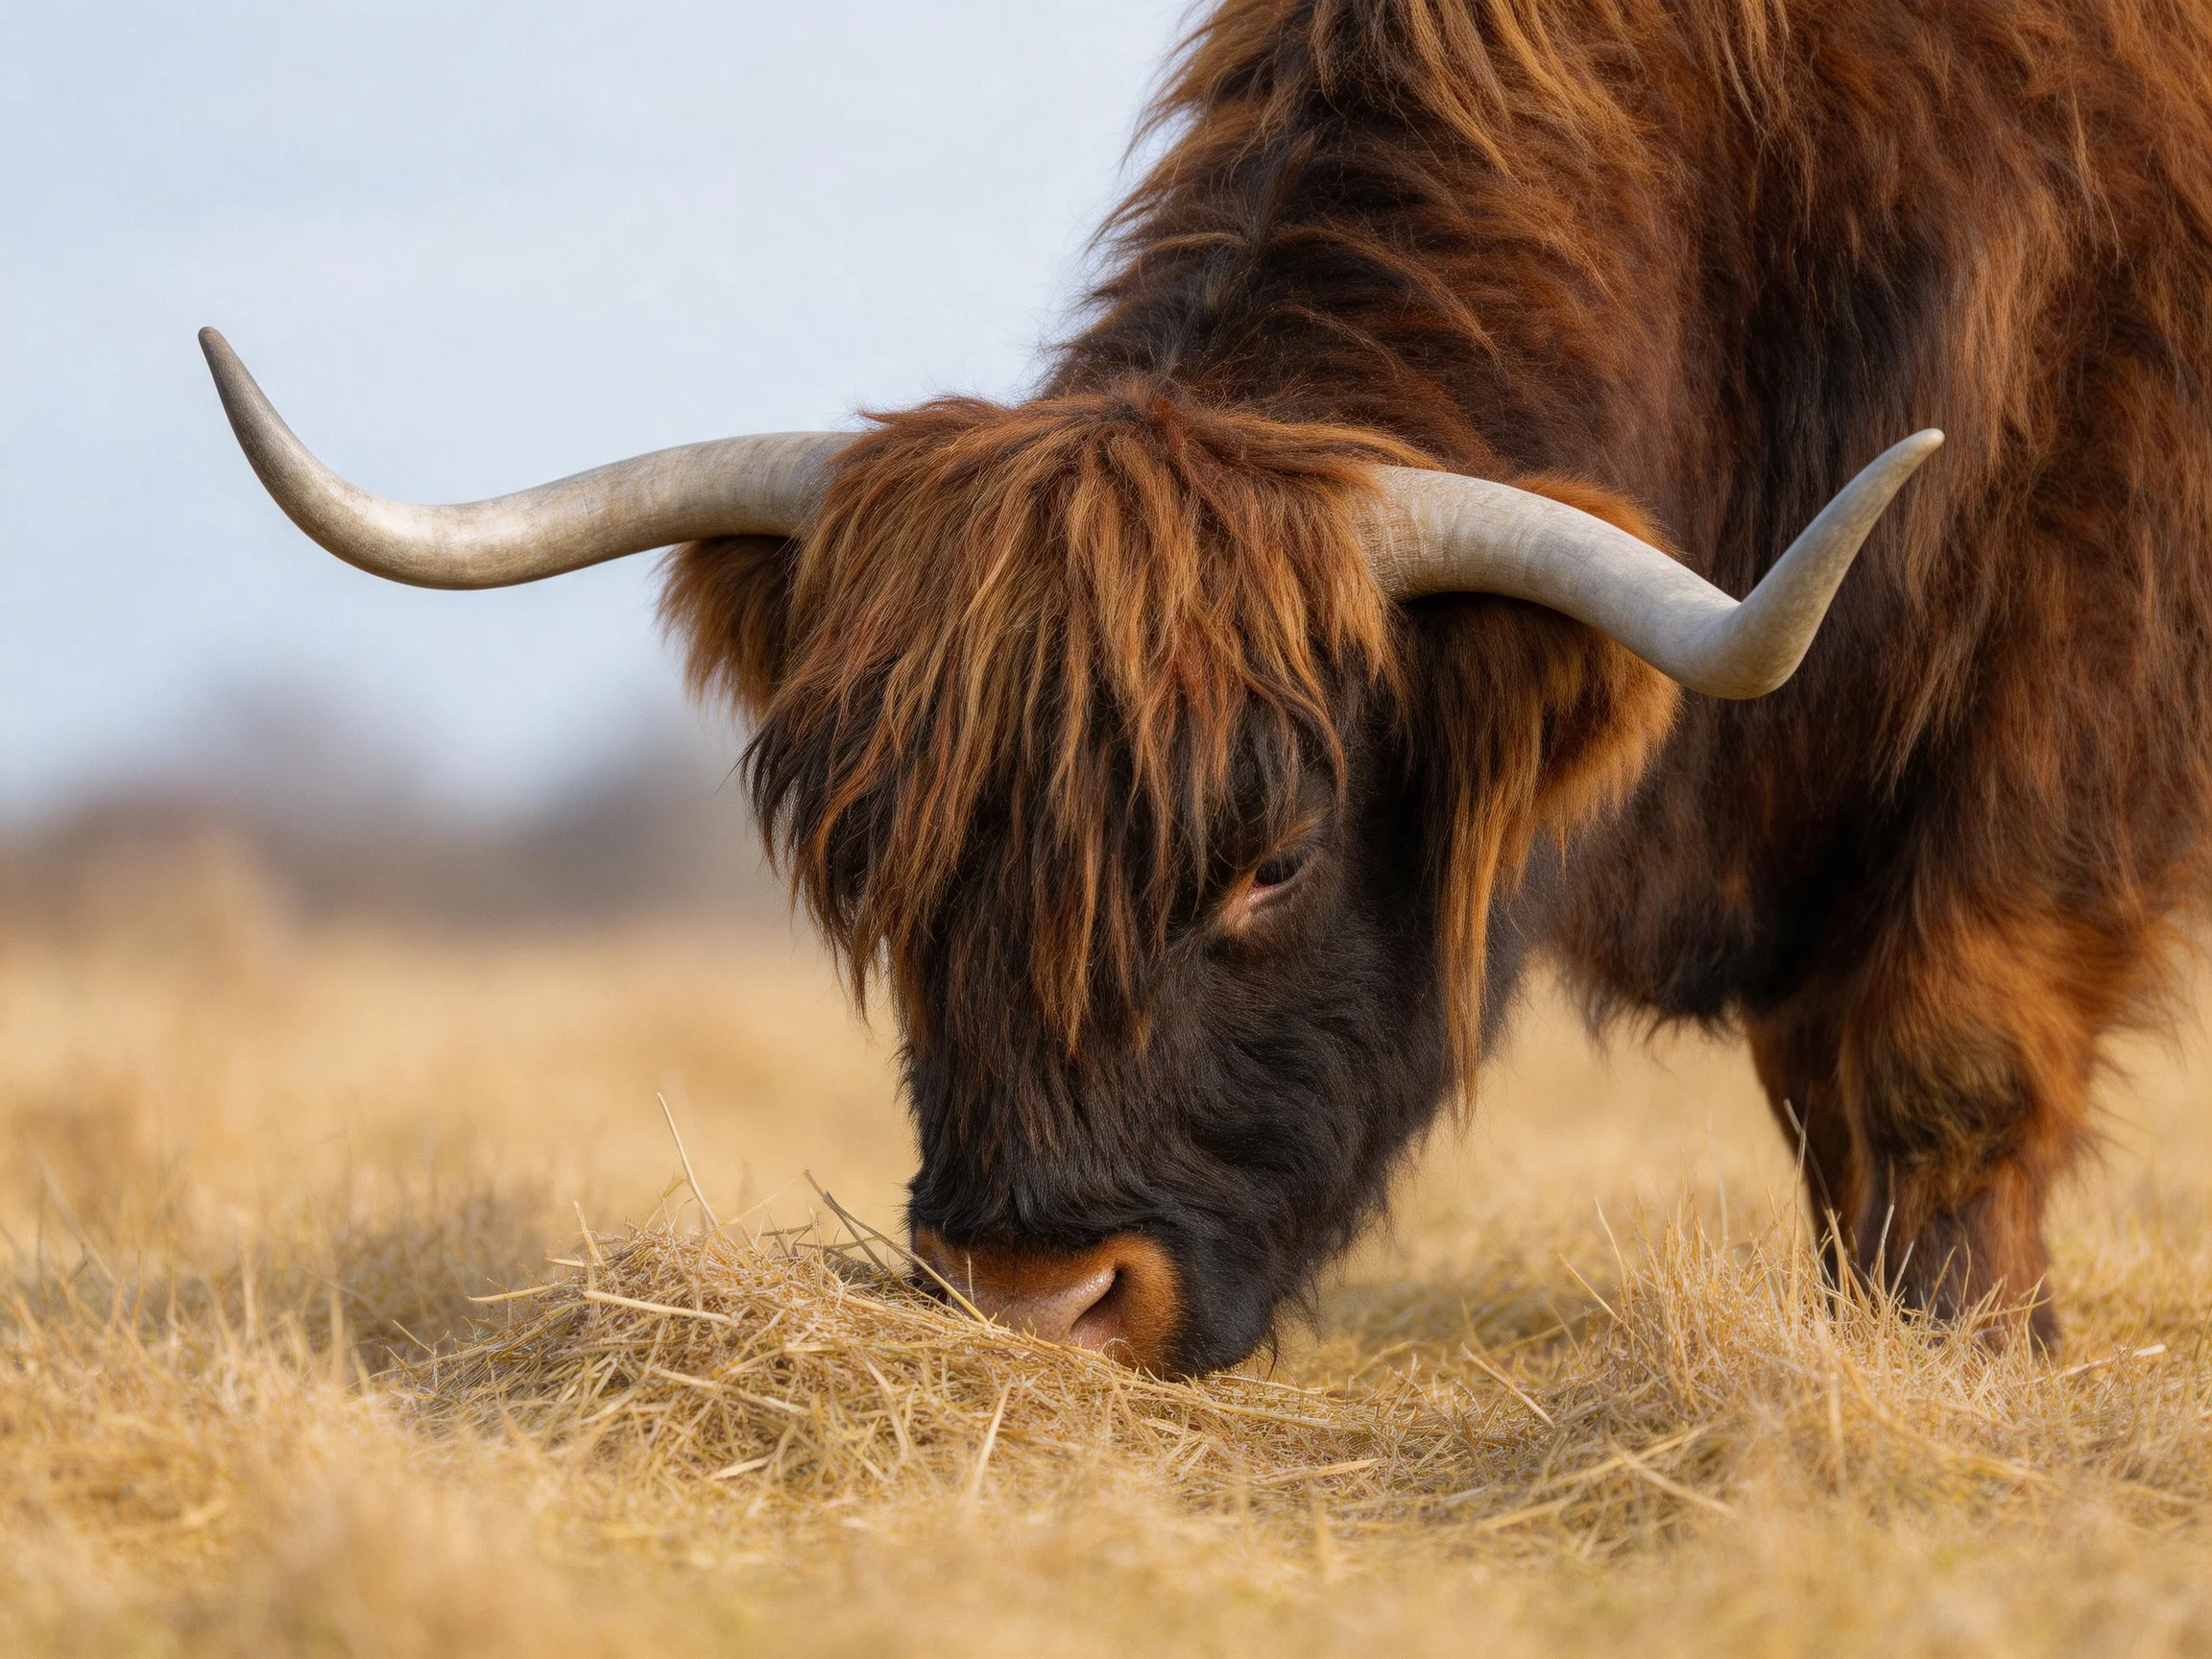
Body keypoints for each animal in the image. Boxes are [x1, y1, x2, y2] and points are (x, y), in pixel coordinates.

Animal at [200, 0, 2212, 1376]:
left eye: (1271, 860)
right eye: (878, 862)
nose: (1035, 1300)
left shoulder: (2063, 698)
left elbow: (1932, 1072)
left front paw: (1958, 1366)